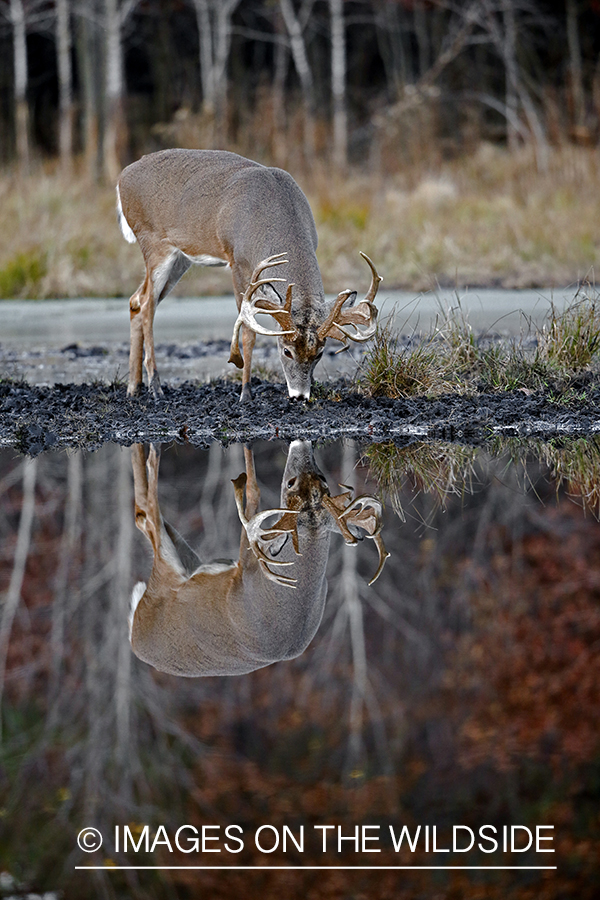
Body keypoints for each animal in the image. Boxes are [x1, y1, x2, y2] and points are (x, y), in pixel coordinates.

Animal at [115, 150, 382, 400]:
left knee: (136, 299)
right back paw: (156, 387)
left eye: (319, 353)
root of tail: (122, 177)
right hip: (153, 243)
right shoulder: (237, 261)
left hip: (181, 259)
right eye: (286, 350)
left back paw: (133, 387)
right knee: (147, 304)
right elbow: (248, 331)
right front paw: (245, 392)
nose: (299, 396)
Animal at [129, 440, 392, 680]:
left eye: (290, 482)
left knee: (145, 514)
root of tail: (134, 635)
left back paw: (151, 451)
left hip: (167, 573)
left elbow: (253, 492)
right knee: (143, 513)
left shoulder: (246, 565)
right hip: (188, 556)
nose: (301, 443)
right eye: (323, 477)